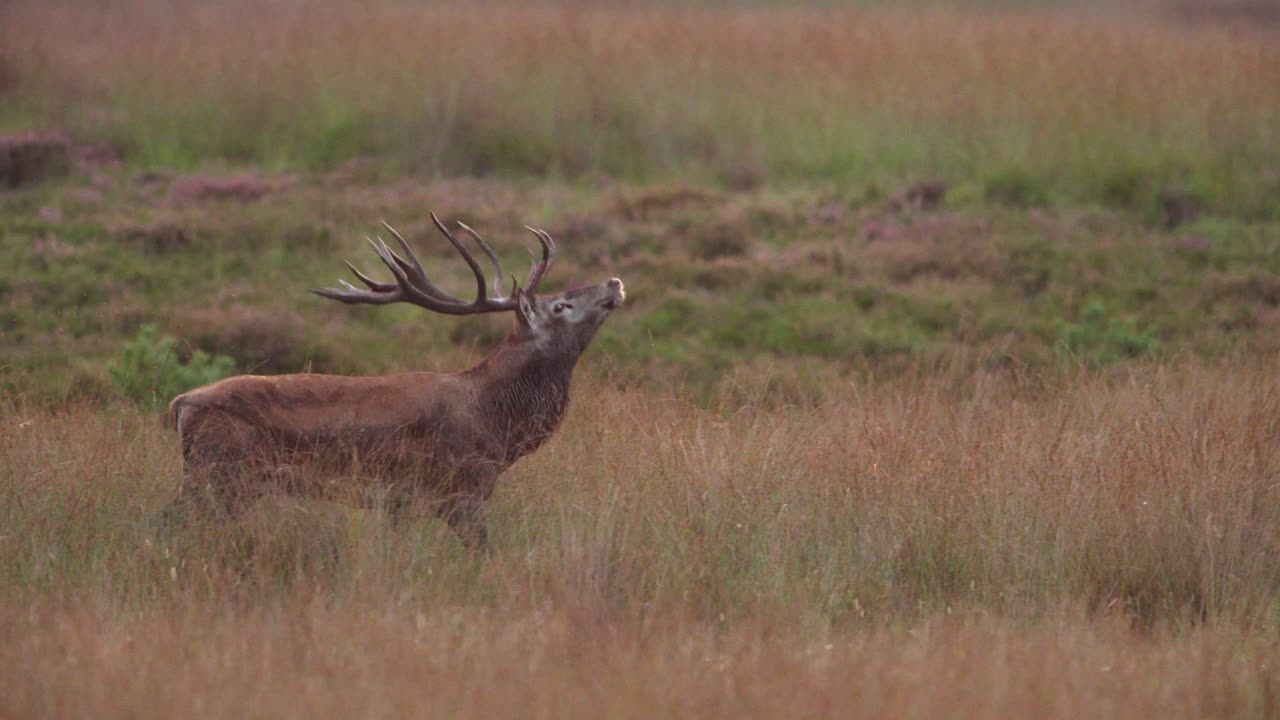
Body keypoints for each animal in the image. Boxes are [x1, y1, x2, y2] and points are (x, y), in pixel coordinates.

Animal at [161, 212, 625, 549]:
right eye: (561, 306)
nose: (614, 282)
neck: (497, 421)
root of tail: (181, 403)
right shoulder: (461, 487)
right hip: (219, 472)